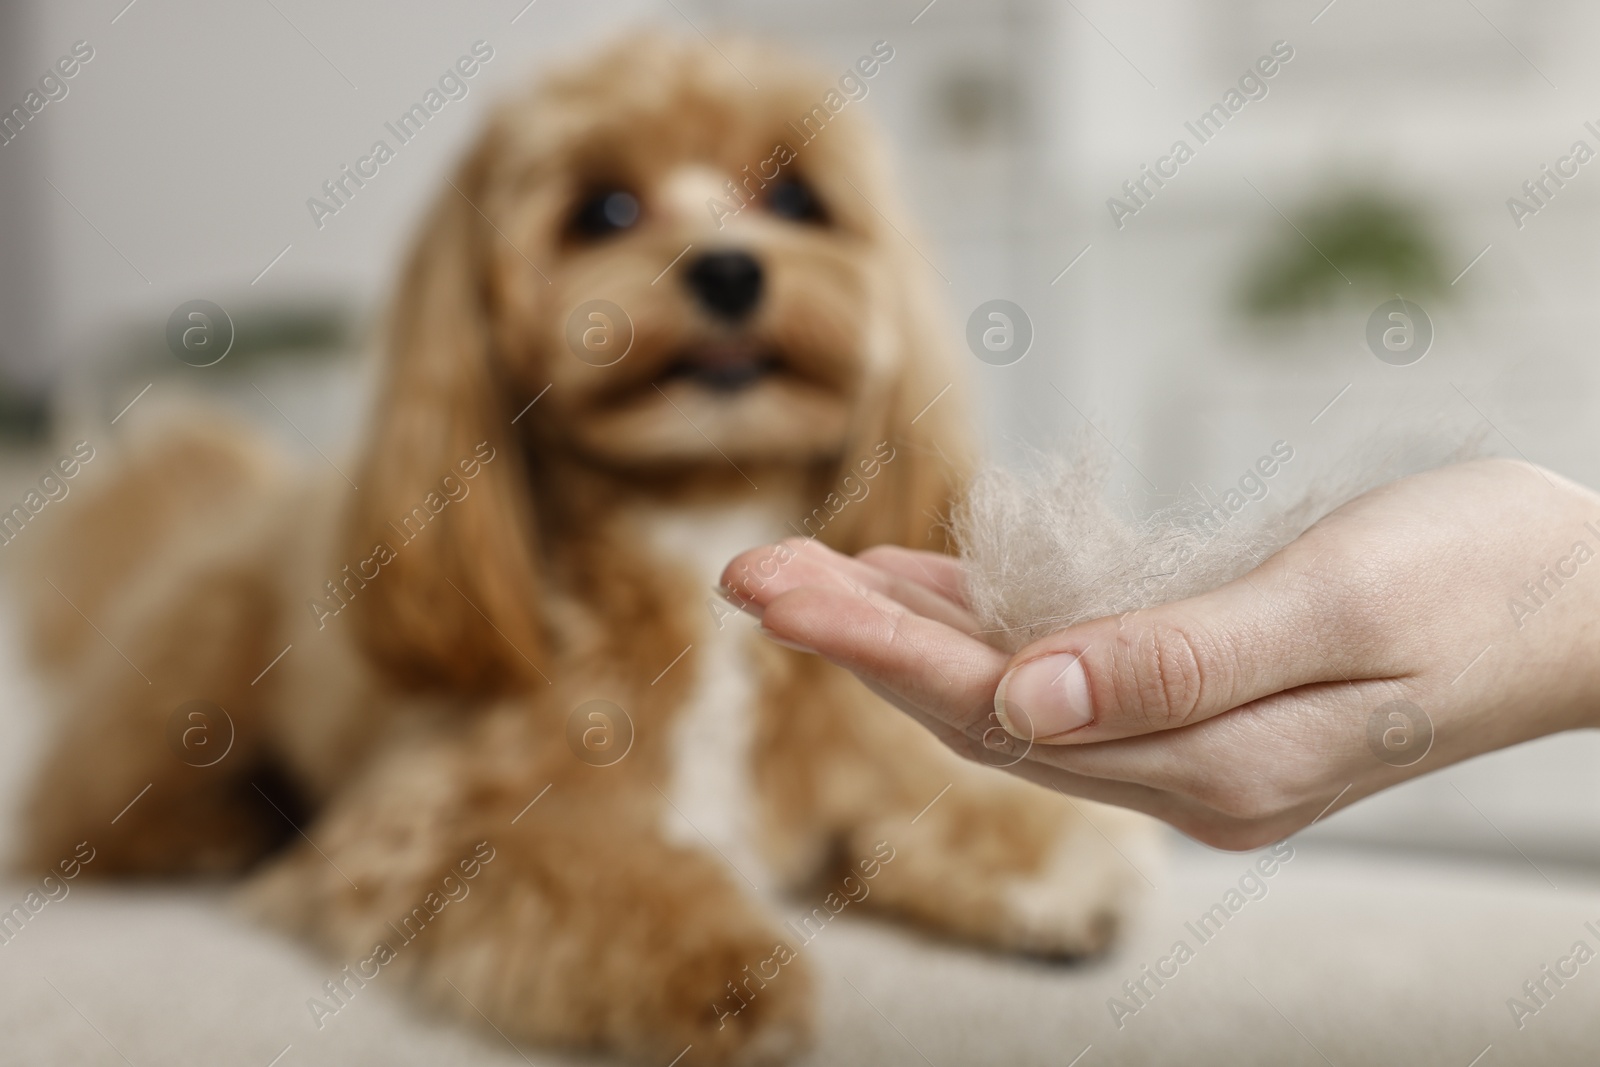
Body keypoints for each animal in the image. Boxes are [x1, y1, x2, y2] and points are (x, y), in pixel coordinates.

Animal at [18, 33, 1158, 1067]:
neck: (696, 518)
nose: (729, 268)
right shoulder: (428, 822)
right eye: (605, 209)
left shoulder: (860, 753)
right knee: (72, 820)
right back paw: (208, 831)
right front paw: (717, 963)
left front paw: (1044, 870)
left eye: (795, 199)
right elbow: (578, 862)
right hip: (178, 698)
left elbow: (946, 808)